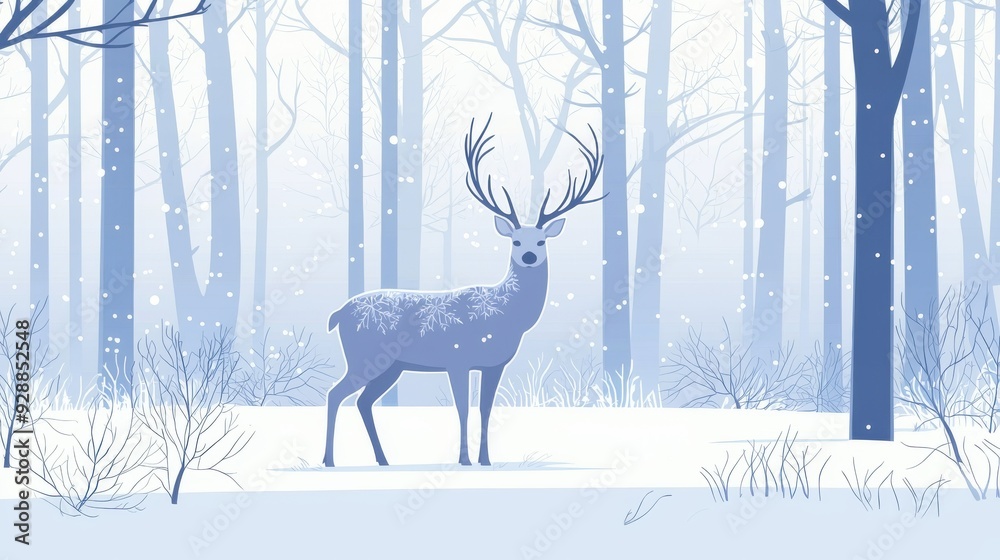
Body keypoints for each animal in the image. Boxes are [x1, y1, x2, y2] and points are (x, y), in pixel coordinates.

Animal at [322, 114, 604, 467]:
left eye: (541, 241)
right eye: (516, 241)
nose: (528, 256)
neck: (506, 316)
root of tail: (338, 313)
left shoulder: (494, 364)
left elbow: (485, 410)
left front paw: (486, 460)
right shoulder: (457, 357)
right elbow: (462, 410)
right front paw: (465, 460)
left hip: (390, 365)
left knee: (362, 401)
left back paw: (383, 460)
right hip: (364, 355)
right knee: (335, 393)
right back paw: (329, 460)